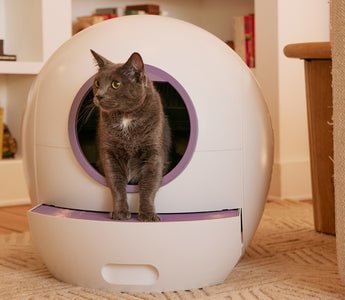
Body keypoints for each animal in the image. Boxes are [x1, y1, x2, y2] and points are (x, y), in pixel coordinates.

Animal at [90, 50, 170, 221]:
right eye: (97, 83)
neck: (126, 117)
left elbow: (149, 184)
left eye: (116, 84)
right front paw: (119, 212)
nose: (99, 96)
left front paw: (148, 214)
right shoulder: (109, 153)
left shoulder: (153, 152)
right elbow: (116, 183)